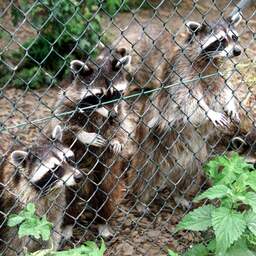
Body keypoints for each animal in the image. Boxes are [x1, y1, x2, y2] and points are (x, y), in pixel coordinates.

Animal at [0, 125, 82, 255]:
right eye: (55, 169)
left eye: (69, 159)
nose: (79, 177)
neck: (48, 192)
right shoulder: (14, 216)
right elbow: (13, 246)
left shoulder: (54, 207)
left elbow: (52, 233)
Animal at [118, 13, 242, 211]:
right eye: (221, 41)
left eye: (234, 37)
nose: (237, 51)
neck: (210, 61)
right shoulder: (182, 70)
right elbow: (186, 99)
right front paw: (209, 112)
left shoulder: (217, 74)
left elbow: (224, 90)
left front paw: (231, 105)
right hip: (151, 147)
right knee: (145, 173)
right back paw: (140, 200)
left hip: (195, 155)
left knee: (190, 173)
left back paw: (179, 194)